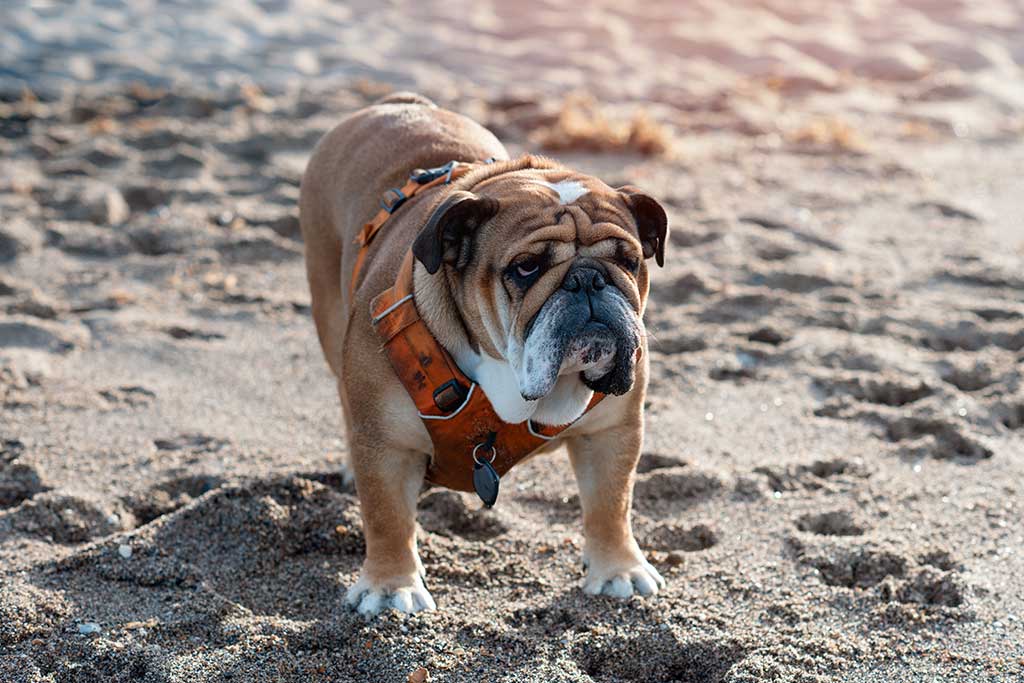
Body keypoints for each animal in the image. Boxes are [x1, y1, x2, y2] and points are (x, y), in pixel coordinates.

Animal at [299, 90, 663, 614]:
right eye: (526, 267)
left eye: (629, 261)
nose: (588, 279)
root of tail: (392, 103)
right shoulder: (387, 445)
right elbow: (387, 516)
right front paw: (391, 585)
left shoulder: (611, 432)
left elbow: (611, 504)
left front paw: (618, 569)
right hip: (329, 314)